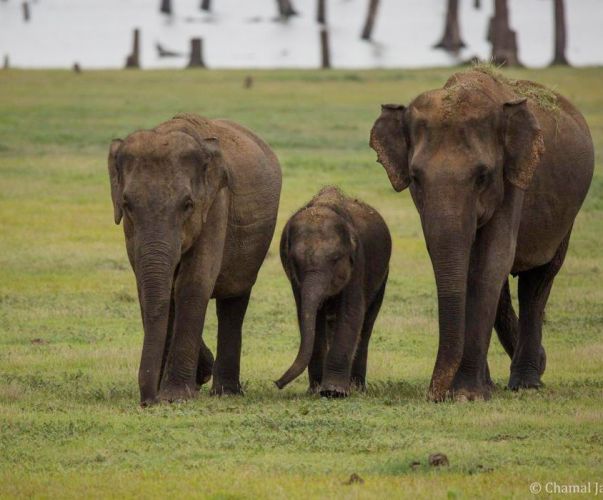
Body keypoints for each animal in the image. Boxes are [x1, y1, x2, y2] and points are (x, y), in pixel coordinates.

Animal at [108, 113, 284, 406]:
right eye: (127, 204)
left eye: (187, 205)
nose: (148, 401)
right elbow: (150, 286)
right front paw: (191, 380)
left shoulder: (217, 203)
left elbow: (192, 283)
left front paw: (176, 396)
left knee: (234, 298)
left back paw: (226, 391)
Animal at [274, 186, 392, 396]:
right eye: (294, 260)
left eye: (336, 259)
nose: (277, 383)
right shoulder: (294, 277)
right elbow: (310, 316)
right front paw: (316, 390)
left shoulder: (358, 262)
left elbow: (351, 312)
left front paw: (333, 392)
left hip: (382, 275)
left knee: (366, 324)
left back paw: (357, 387)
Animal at [368, 67, 596, 402]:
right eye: (416, 177)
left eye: (483, 176)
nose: (434, 395)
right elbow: (465, 265)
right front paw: (472, 391)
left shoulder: (514, 180)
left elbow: (491, 261)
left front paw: (466, 395)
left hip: (566, 216)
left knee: (538, 280)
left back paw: (527, 382)